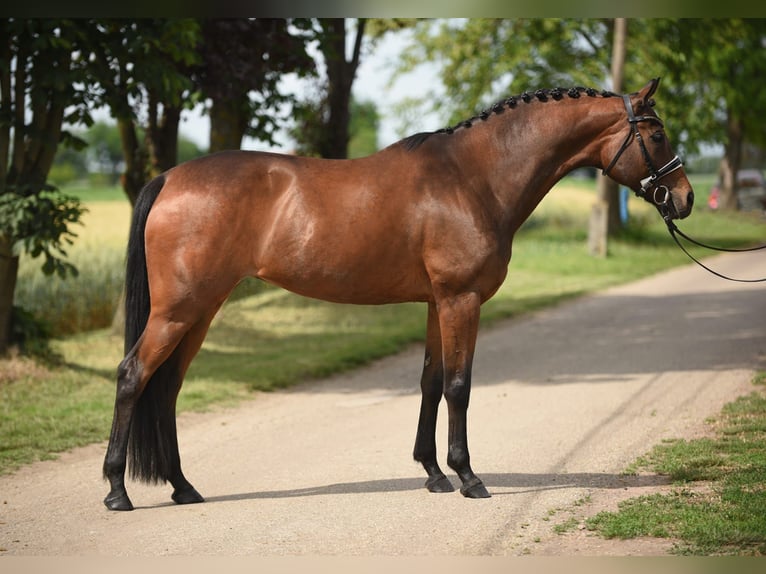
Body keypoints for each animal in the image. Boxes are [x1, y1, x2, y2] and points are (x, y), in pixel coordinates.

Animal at [102, 77, 696, 512]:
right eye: (658, 135)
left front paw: (433, 473)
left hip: (199, 311)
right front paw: (468, 476)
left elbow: (431, 382)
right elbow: (459, 385)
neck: (472, 177)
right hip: (179, 310)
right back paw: (117, 491)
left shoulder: (437, 303)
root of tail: (170, 179)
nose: (686, 198)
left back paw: (183, 487)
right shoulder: (461, 300)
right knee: (134, 375)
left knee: (167, 387)